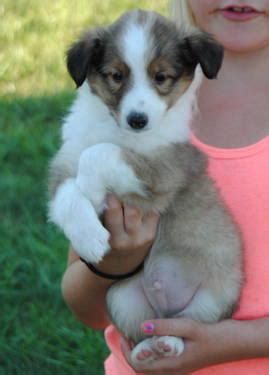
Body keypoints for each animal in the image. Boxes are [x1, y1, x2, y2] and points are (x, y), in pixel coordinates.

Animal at [47, 9, 241, 368]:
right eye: (116, 76)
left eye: (161, 77)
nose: (138, 120)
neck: (114, 128)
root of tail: (165, 307)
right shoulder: (65, 160)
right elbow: (67, 194)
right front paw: (89, 238)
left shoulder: (163, 169)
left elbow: (100, 154)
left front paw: (93, 192)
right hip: (122, 298)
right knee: (144, 329)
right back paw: (146, 349)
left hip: (217, 296)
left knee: (191, 324)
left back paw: (170, 344)